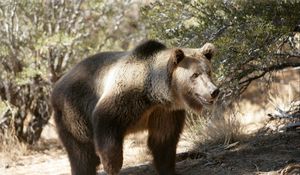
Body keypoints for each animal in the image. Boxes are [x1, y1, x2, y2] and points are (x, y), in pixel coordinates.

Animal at [51, 40, 219, 175]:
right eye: (195, 75)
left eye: (209, 71)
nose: (214, 91)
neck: (154, 94)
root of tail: (57, 84)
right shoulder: (126, 97)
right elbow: (106, 123)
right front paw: (112, 165)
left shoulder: (163, 112)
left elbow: (163, 140)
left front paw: (168, 169)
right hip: (73, 112)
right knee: (81, 152)